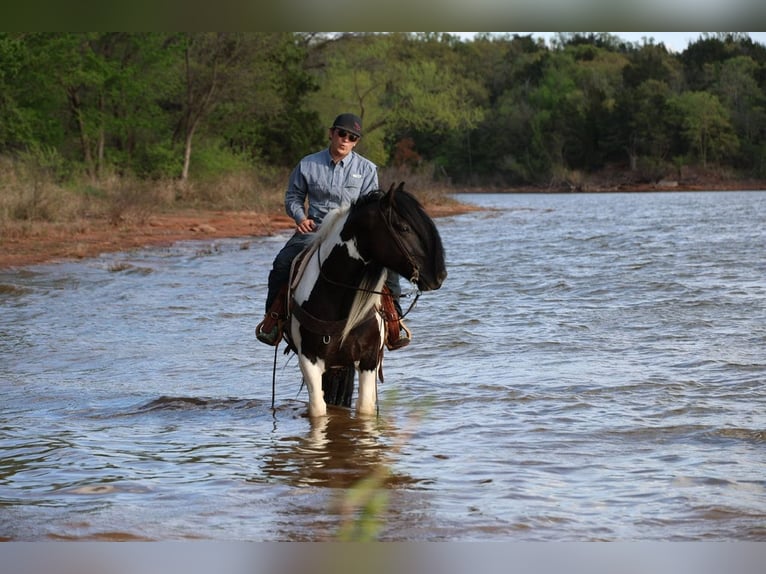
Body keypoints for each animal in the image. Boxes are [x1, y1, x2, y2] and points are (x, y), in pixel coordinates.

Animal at [282, 182, 447, 418]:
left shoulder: (369, 360)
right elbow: (318, 410)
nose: (439, 276)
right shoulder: (308, 359)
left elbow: (364, 409)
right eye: (403, 228)